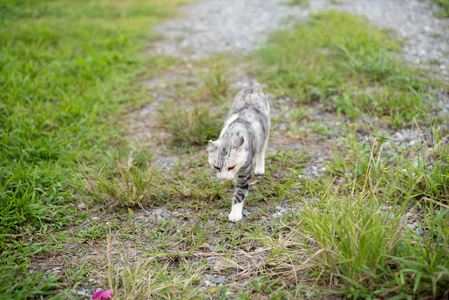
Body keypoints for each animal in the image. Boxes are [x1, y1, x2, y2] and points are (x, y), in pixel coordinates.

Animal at [207, 83, 270, 221]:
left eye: (231, 167)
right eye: (216, 167)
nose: (224, 178)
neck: (232, 134)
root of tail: (253, 87)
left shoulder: (245, 170)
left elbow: (240, 192)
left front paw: (235, 214)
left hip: (265, 134)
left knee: (262, 150)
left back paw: (260, 168)